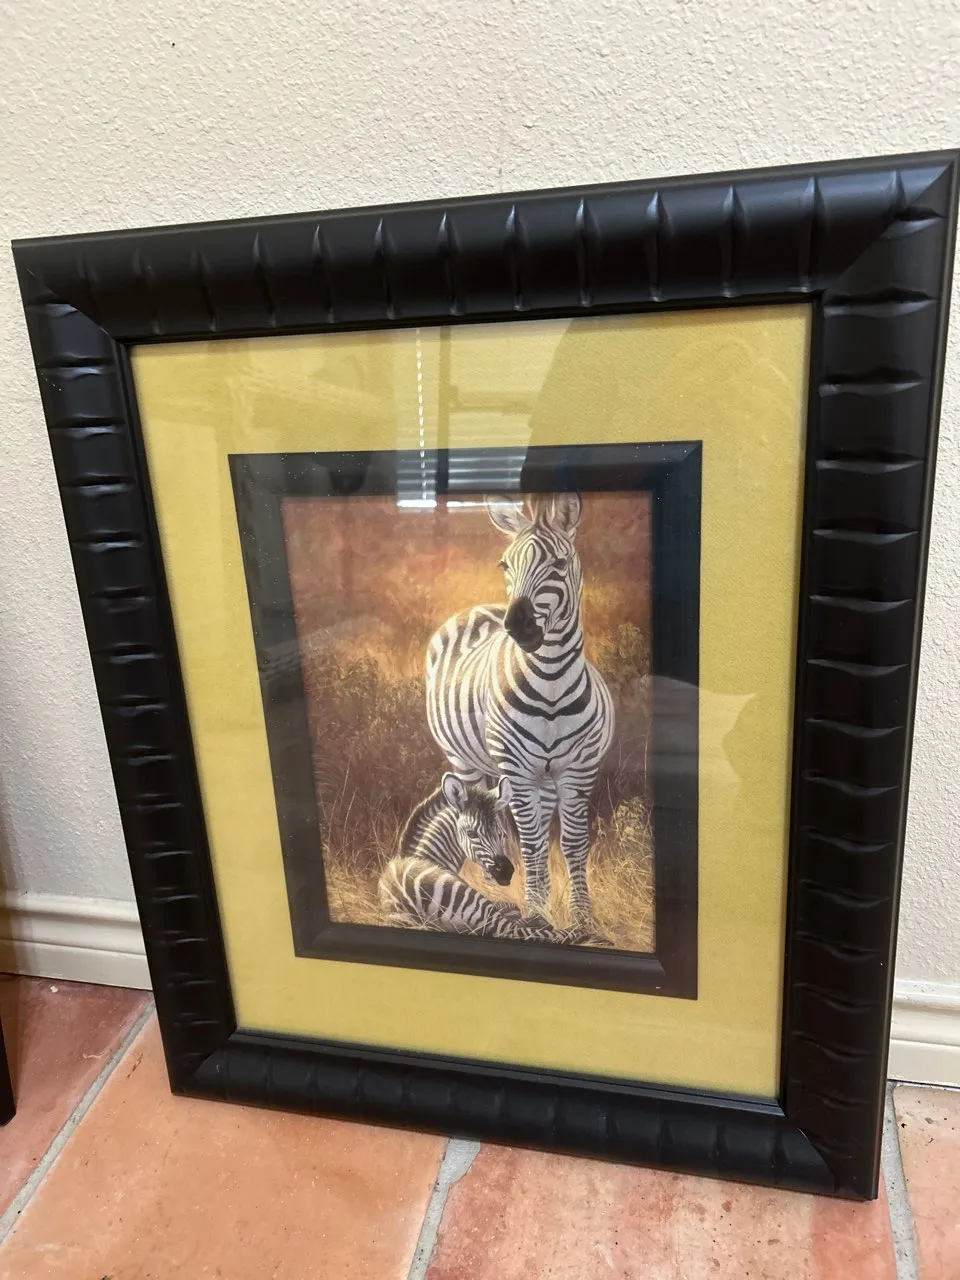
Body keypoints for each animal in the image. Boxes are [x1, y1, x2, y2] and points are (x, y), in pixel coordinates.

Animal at [378, 773, 596, 942]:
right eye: (471, 834)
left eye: (502, 835)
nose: (506, 871)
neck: (427, 856)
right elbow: (513, 909)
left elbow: (512, 907)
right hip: (471, 901)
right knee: (517, 931)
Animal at [425, 492, 615, 918]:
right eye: (505, 565)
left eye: (559, 564)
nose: (517, 626)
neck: (551, 686)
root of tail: (478, 608)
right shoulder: (518, 771)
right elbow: (529, 845)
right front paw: (535, 912)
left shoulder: (579, 769)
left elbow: (572, 844)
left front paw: (581, 917)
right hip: (465, 761)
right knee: (479, 812)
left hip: (543, 777)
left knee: (542, 831)